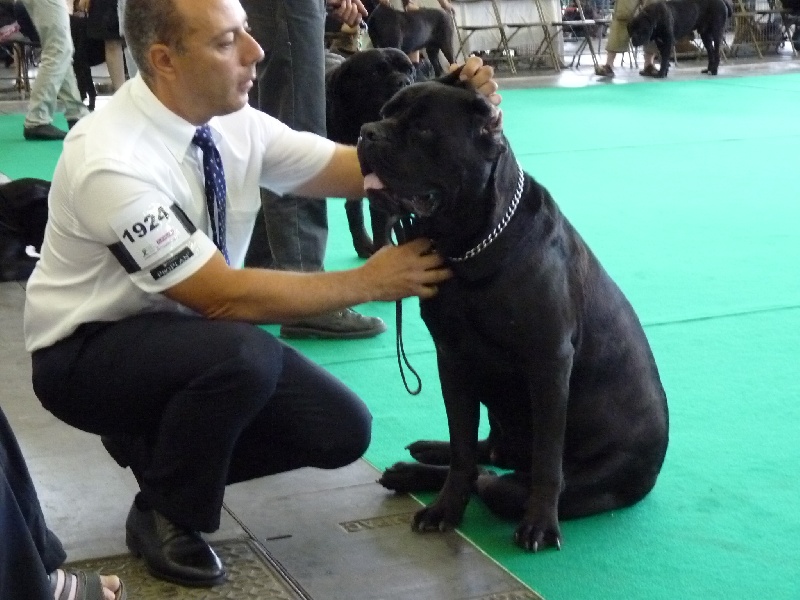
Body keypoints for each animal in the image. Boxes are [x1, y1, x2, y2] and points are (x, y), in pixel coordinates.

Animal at [358, 76, 668, 552]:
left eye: (424, 130)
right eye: (385, 112)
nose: (366, 132)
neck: (468, 248)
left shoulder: (549, 363)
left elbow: (546, 460)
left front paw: (540, 523)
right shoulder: (453, 360)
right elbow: (462, 444)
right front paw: (445, 509)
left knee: (499, 478)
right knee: (483, 455)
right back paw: (419, 461)